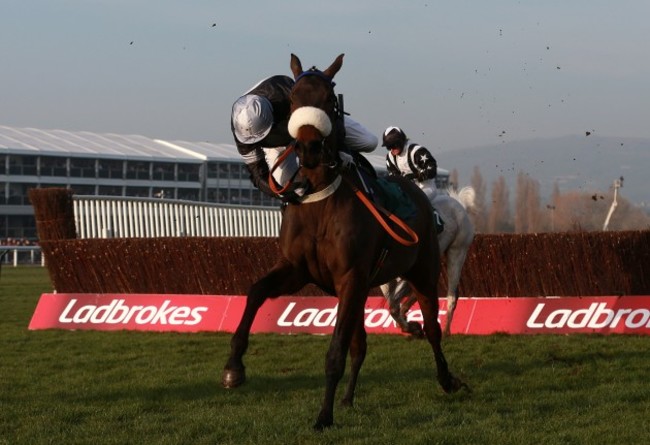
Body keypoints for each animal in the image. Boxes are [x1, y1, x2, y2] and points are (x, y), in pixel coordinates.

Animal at [223, 53, 466, 428]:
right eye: (295, 100)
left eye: (328, 99)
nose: (308, 148)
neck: (320, 202)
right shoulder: (299, 270)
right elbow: (257, 291)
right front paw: (234, 366)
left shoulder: (350, 277)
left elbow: (336, 349)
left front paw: (323, 416)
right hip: (364, 286)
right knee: (362, 344)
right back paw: (350, 397)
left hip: (423, 270)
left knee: (432, 327)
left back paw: (445, 377)